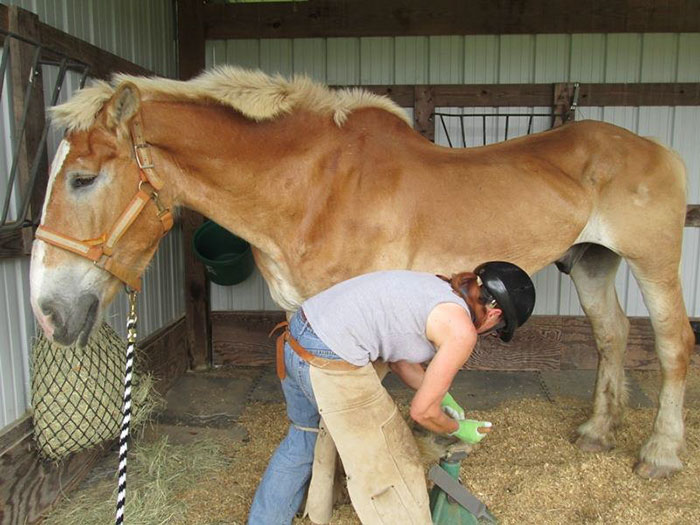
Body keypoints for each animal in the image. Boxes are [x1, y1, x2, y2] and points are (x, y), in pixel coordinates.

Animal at [29, 66, 694, 479]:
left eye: (82, 178)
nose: (48, 312)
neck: (312, 187)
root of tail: (660, 149)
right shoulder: (310, 322)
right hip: (592, 264)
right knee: (611, 336)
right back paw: (597, 431)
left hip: (654, 264)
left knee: (672, 346)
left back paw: (660, 455)